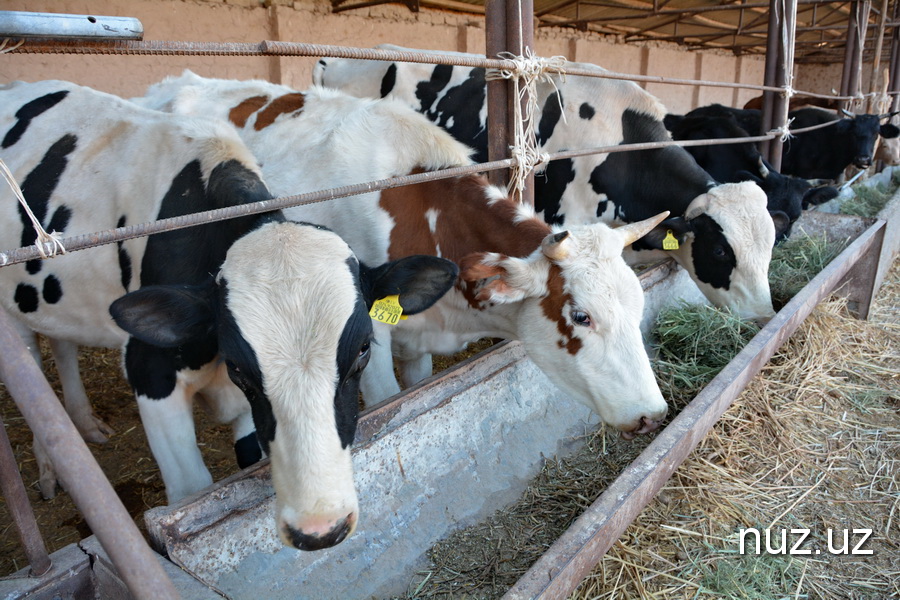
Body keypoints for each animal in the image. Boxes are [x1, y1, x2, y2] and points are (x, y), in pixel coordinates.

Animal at [0, 80, 459, 550]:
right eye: (239, 365)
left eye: (364, 349)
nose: (320, 529)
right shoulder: (150, 371)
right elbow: (191, 490)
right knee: (31, 367)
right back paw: (50, 470)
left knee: (62, 344)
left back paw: (85, 424)